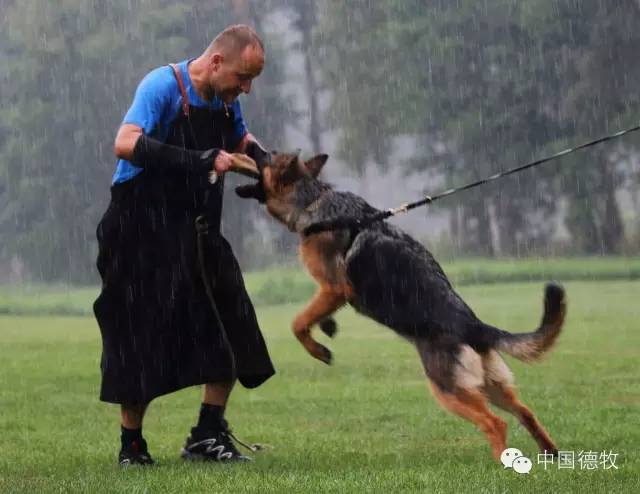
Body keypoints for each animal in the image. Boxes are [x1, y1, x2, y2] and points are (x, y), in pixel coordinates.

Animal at [240, 150, 564, 460]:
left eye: (265, 155)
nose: (249, 146)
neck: (313, 200)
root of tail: (475, 326)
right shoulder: (330, 293)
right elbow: (312, 316)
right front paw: (328, 326)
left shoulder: (334, 288)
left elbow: (297, 322)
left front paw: (319, 349)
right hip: (491, 386)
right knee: (525, 412)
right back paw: (551, 453)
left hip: (447, 388)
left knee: (495, 423)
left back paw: (503, 463)